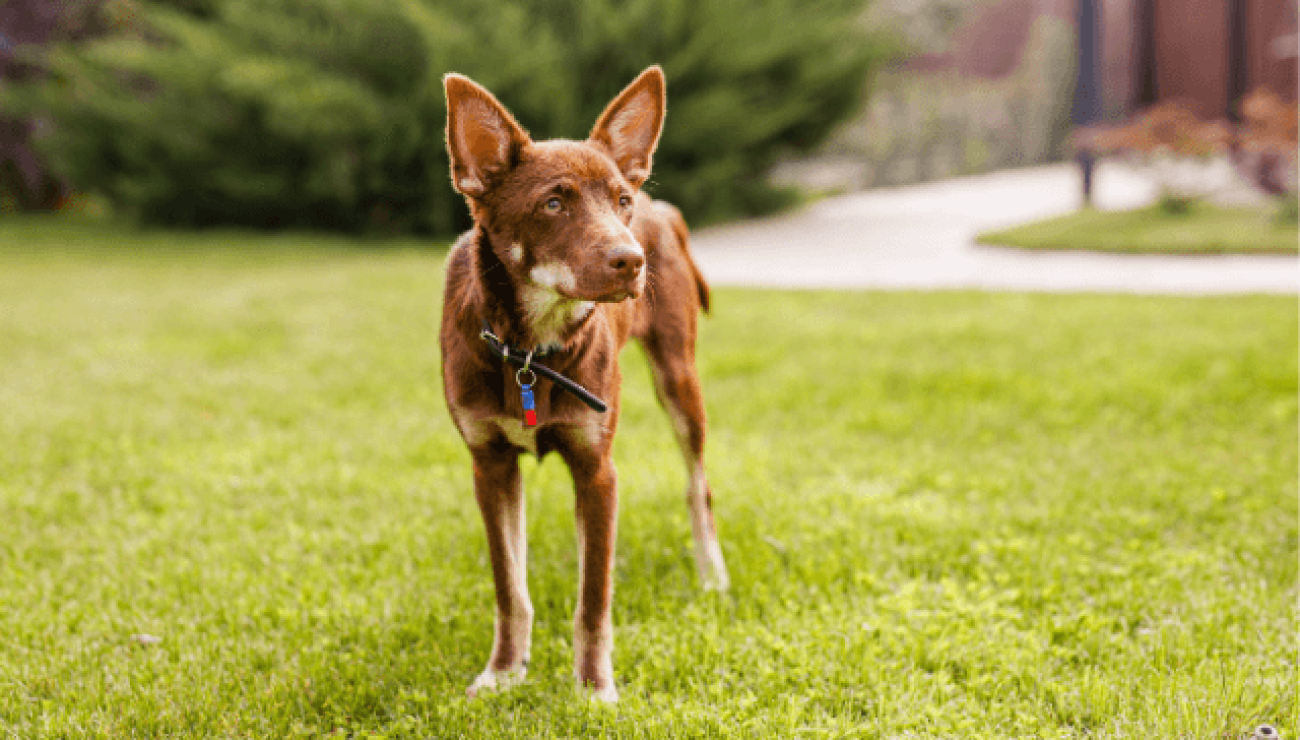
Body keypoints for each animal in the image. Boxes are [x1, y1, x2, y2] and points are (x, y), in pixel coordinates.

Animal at [441, 67, 733, 697]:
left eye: (619, 202)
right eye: (553, 203)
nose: (632, 260)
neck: (531, 348)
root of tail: (660, 204)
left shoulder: (597, 469)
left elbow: (593, 596)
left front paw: (594, 689)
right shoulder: (489, 464)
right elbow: (510, 587)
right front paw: (504, 673)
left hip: (679, 380)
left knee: (698, 485)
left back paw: (712, 574)